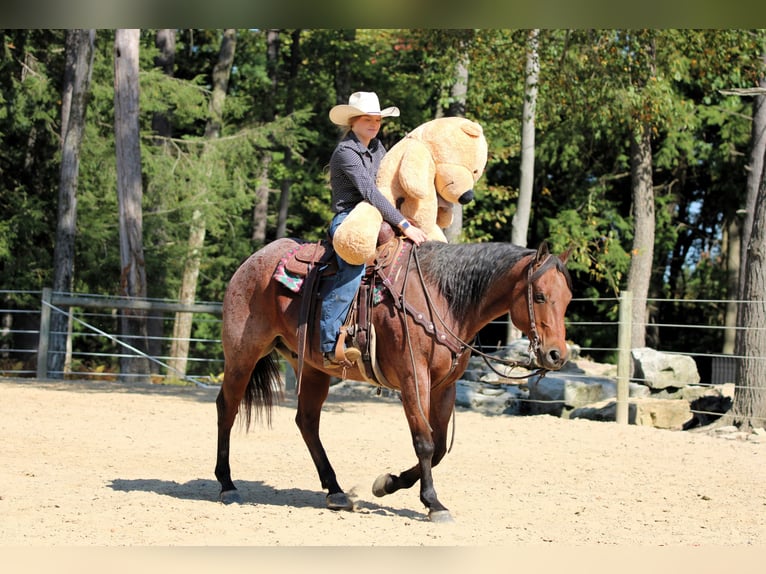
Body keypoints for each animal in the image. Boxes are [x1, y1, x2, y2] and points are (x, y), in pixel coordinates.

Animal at [215, 238, 572, 522]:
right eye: (540, 296)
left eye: (568, 299)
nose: (556, 355)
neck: (442, 297)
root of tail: (253, 260)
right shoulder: (413, 380)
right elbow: (424, 442)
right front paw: (433, 504)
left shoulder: (445, 388)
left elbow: (439, 447)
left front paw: (387, 484)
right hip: (242, 356)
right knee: (226, 409)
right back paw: (227, 485)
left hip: (313, 370)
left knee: (306, 422)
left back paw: (335, 491)